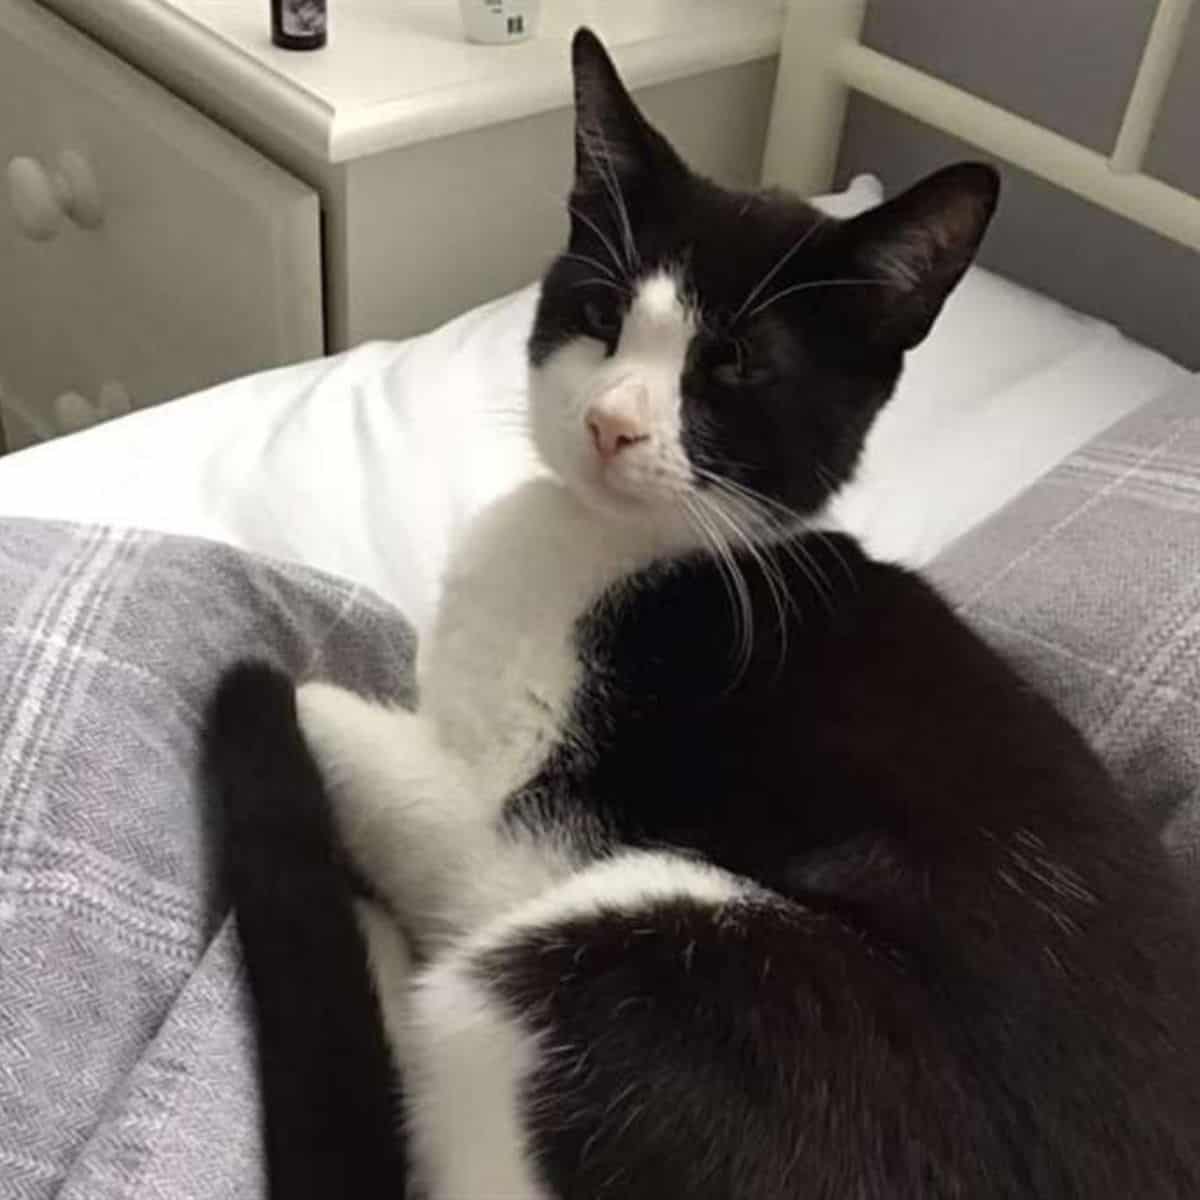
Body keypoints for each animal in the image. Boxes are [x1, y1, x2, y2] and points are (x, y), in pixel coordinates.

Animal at [211, 28, 1200, 1200]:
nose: (610, 422)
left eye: (732, 363)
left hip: (633, 952)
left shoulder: (510, 836)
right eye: (599, 315)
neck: (641, 550)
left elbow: (318, 699)